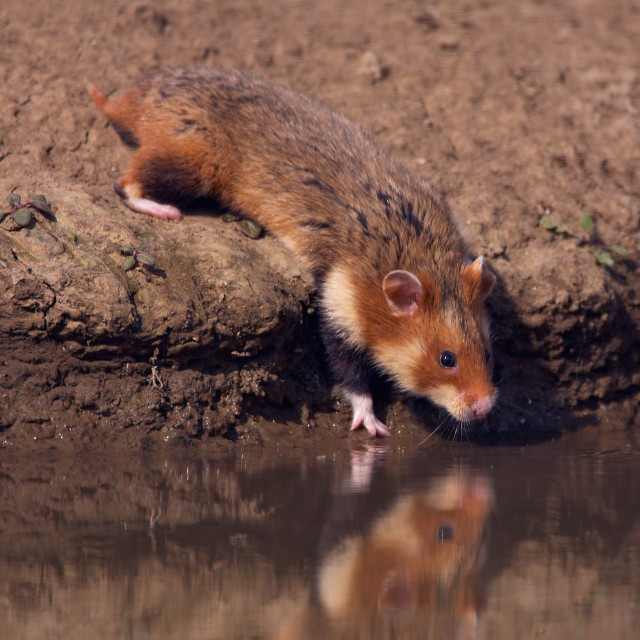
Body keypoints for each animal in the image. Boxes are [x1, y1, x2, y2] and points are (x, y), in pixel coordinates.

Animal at [87, 67, 498, 438]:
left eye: (488, 352)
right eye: (446, 359)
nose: (484, 409)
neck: (416, 251)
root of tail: (133, 96)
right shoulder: (338, 302)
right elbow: (349, 375)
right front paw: (372, 425)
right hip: (192, 159)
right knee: (125, 183)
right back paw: (166, 211)